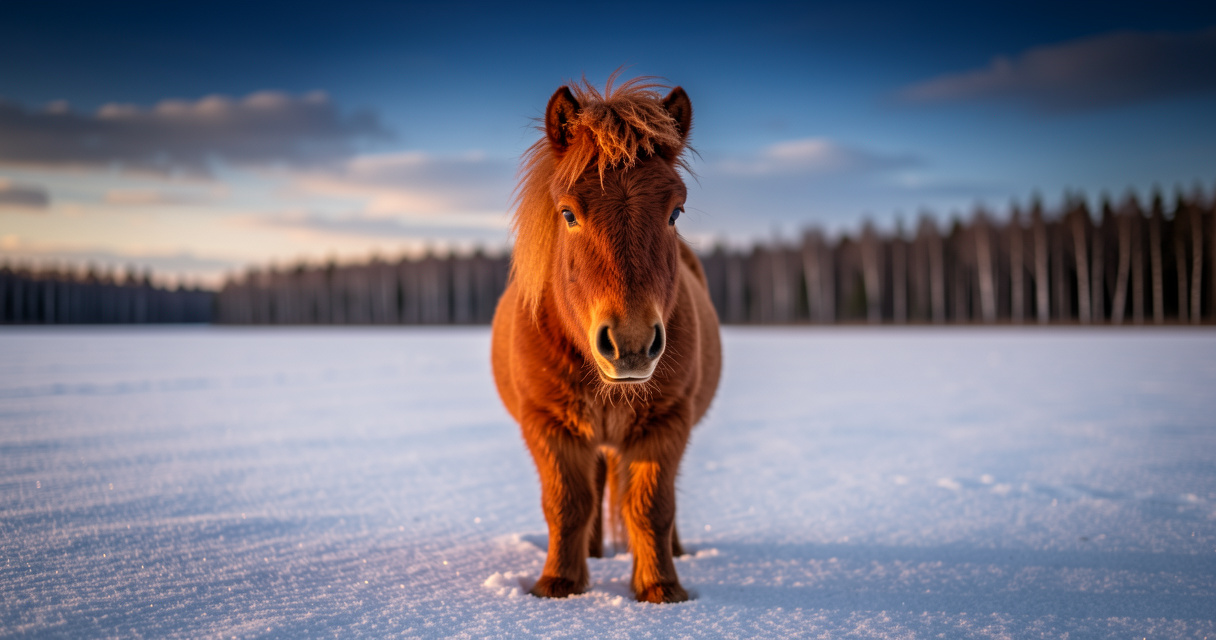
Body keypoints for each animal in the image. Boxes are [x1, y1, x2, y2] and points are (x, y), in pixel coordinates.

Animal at [491, 75, 722, 604]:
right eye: (568, 213)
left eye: (675, 212)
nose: (631, 343)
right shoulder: (549, 425)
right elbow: (567, 505)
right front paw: (558, 586)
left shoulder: (665, 425)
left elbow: (652, 507)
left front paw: (661, 589)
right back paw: (591, 558)